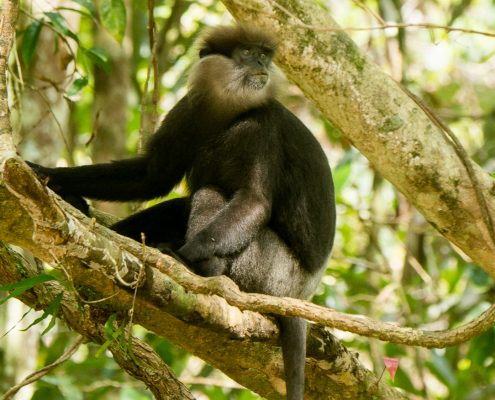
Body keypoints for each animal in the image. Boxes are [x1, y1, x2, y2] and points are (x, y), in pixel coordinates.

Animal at [28, 25, 338, 400]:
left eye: (265, 55)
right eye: (248, 53)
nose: (262, 64)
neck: (229, 109)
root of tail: (301, 292)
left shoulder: (261, 126)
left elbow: (254, 200)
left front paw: (185, 254)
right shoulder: (190, 109)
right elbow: (151, 175)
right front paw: (48, 175)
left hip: (271, 270)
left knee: (210, 194)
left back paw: (198, 267)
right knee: (184, 203)